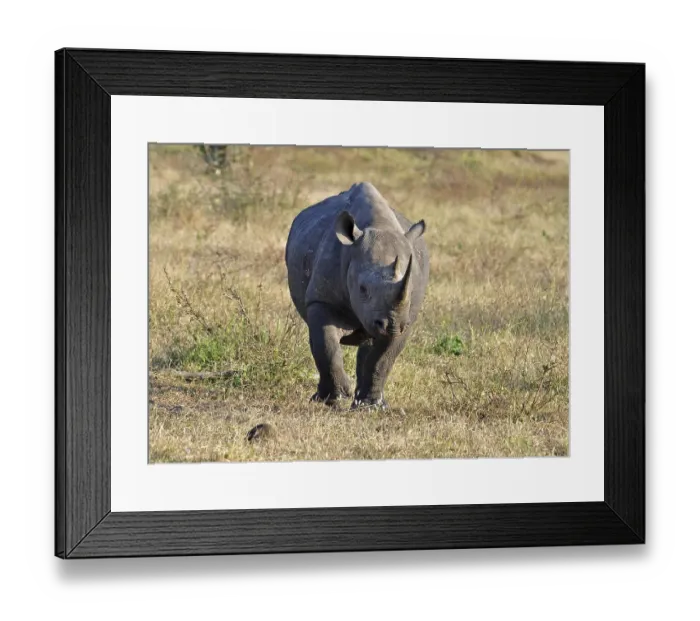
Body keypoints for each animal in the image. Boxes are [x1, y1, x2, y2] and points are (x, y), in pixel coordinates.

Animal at [285, 182, 429, 409]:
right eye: (362, 289)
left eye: (411, 288)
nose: (390, 325)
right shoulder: (321, 300)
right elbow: (326, 346)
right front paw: (335, 398)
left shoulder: (407, 316)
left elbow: (383, 360)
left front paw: (371, 407)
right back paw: (320, 398)